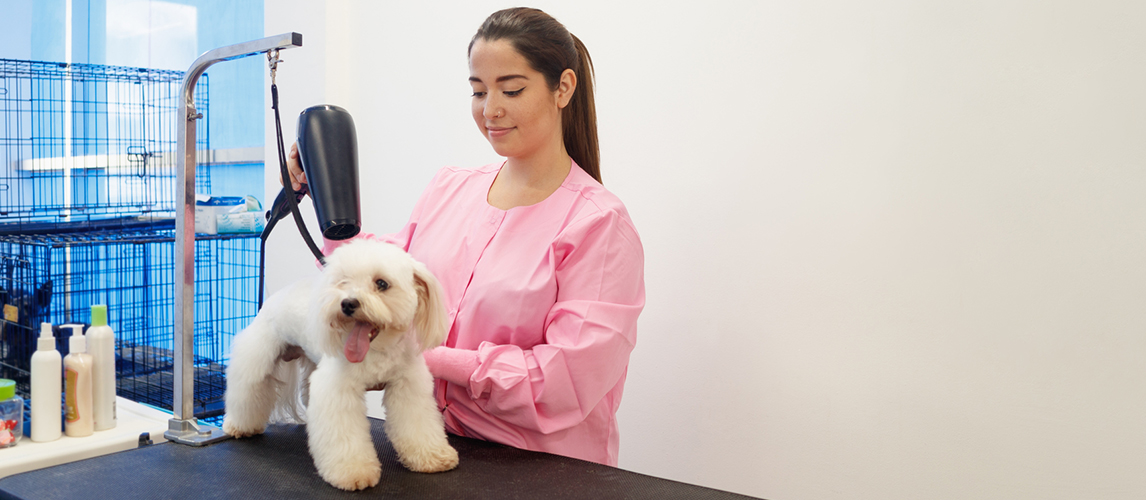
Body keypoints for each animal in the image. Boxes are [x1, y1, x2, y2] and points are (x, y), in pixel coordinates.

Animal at [221, 238, 458, 488]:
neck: (376, 350)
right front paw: (352, 470)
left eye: (381, 283)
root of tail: (276, 294)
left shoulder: (408, 385)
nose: (348, 303)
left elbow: (417, 423)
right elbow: (344, 432)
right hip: (256, 356)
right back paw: (239, 425)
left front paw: (432, 456)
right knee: (247, 390)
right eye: (344, 281)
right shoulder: (337, 389)